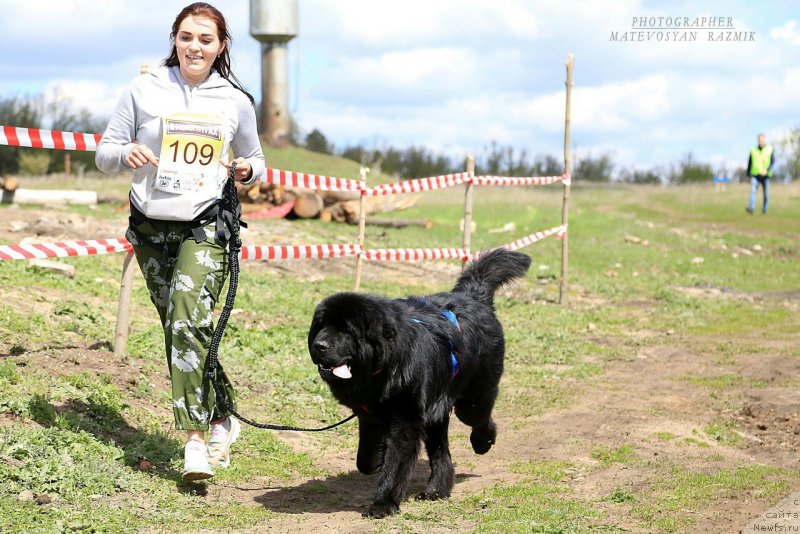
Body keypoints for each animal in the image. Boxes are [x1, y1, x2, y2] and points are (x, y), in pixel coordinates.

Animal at [308, 250, 532, 520]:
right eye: (321, 326)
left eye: (345, 331)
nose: (319, 345)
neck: (383, 367)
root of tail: (472, 296)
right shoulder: (369, 415)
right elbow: (364, 460)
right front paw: (376, 461)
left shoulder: (406, 418)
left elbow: (395, 463)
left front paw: (383, 503)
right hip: (436, 409)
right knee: (440, 452)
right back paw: (437, 490)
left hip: (471, 399)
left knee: (479, 417)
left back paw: (482, 441)